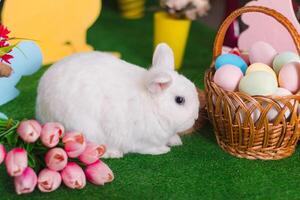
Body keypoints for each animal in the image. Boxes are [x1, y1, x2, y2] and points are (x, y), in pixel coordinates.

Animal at [36, 43, 199, 158]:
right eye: (179, 100)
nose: (195, 118)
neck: (152, 105)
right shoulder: (141, 140)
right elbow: (149, 148)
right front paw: (164, 150)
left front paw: (176, 141)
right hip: (83, 129)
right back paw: (113, 153)